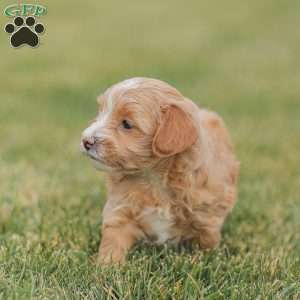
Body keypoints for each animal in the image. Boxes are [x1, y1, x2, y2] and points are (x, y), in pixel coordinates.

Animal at [80, 78, 239, 264]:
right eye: (100, 112)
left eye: (126, 124)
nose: (86, 140)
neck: (153, 177)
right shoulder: (120, 209)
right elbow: (113, 241)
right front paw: (107, 265)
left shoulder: (206, 217)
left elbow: (206, 243)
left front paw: (204, 260)